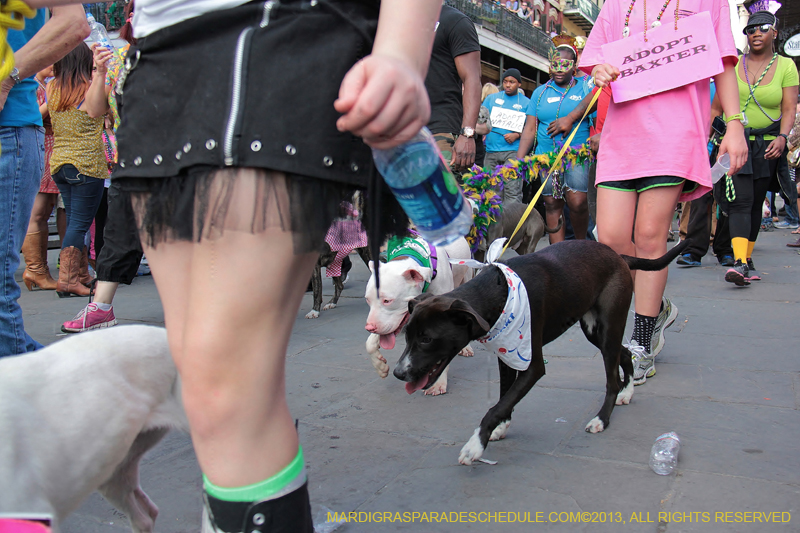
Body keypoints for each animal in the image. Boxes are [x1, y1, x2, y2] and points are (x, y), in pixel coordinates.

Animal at [394, 239, 688, 464]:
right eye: (406, 336)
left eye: (427, 339)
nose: (398, 373)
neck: (498, 293)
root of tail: (618, 255)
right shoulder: (506, 353)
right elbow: (504, 397)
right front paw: (500, 428)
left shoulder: (532, 366)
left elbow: (496, 405)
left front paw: (476, 444)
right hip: (595, 331)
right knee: (624, 355)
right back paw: (627, 393)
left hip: (608, 326)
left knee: (612, 379)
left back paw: (602, 418)